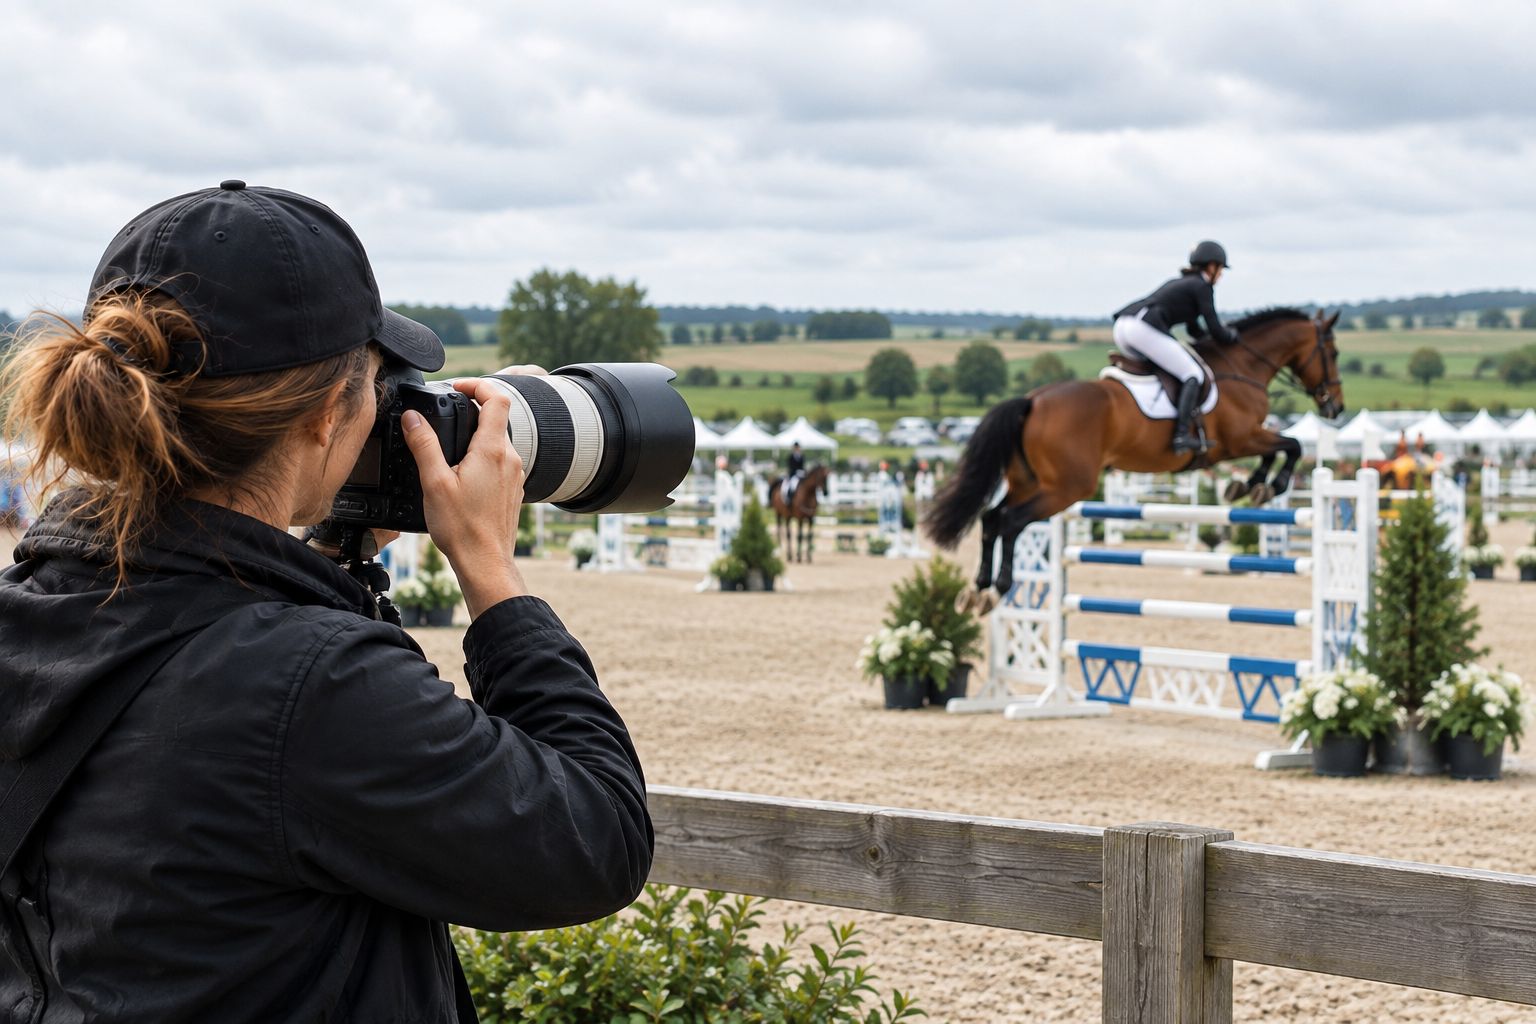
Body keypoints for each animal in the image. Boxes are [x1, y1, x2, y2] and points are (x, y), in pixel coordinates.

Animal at [922, 308, 1345, 613]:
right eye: (1333, 353)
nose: (1336, 407)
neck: (1242, 368)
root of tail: (1032, 401)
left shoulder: (1244, 440)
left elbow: (1280, 448)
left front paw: (1246, 485)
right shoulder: (1240, 438)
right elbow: (1291, 445)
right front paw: (1265, 486)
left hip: (1028, 481)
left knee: (991, 518)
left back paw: (977, 590)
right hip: (1067, 488)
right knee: (1010, 522)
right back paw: (998, 590)